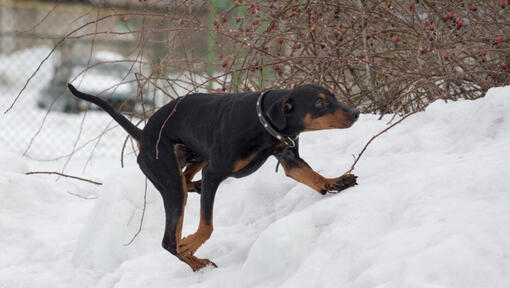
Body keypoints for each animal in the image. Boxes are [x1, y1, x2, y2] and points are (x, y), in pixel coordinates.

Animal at [67, 82, 358, 270]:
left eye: (332, 96)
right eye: (320, 102)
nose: (356, 112)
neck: (262, 120)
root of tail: (144, 134)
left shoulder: (289, 159)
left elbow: (314, 177)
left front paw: (336, 181)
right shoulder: (213, 174)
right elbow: (207, 226)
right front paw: (191, 244)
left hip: (194, 159)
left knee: (186, 183)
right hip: (172, 179)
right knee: (169, 239)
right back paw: (195, 261)